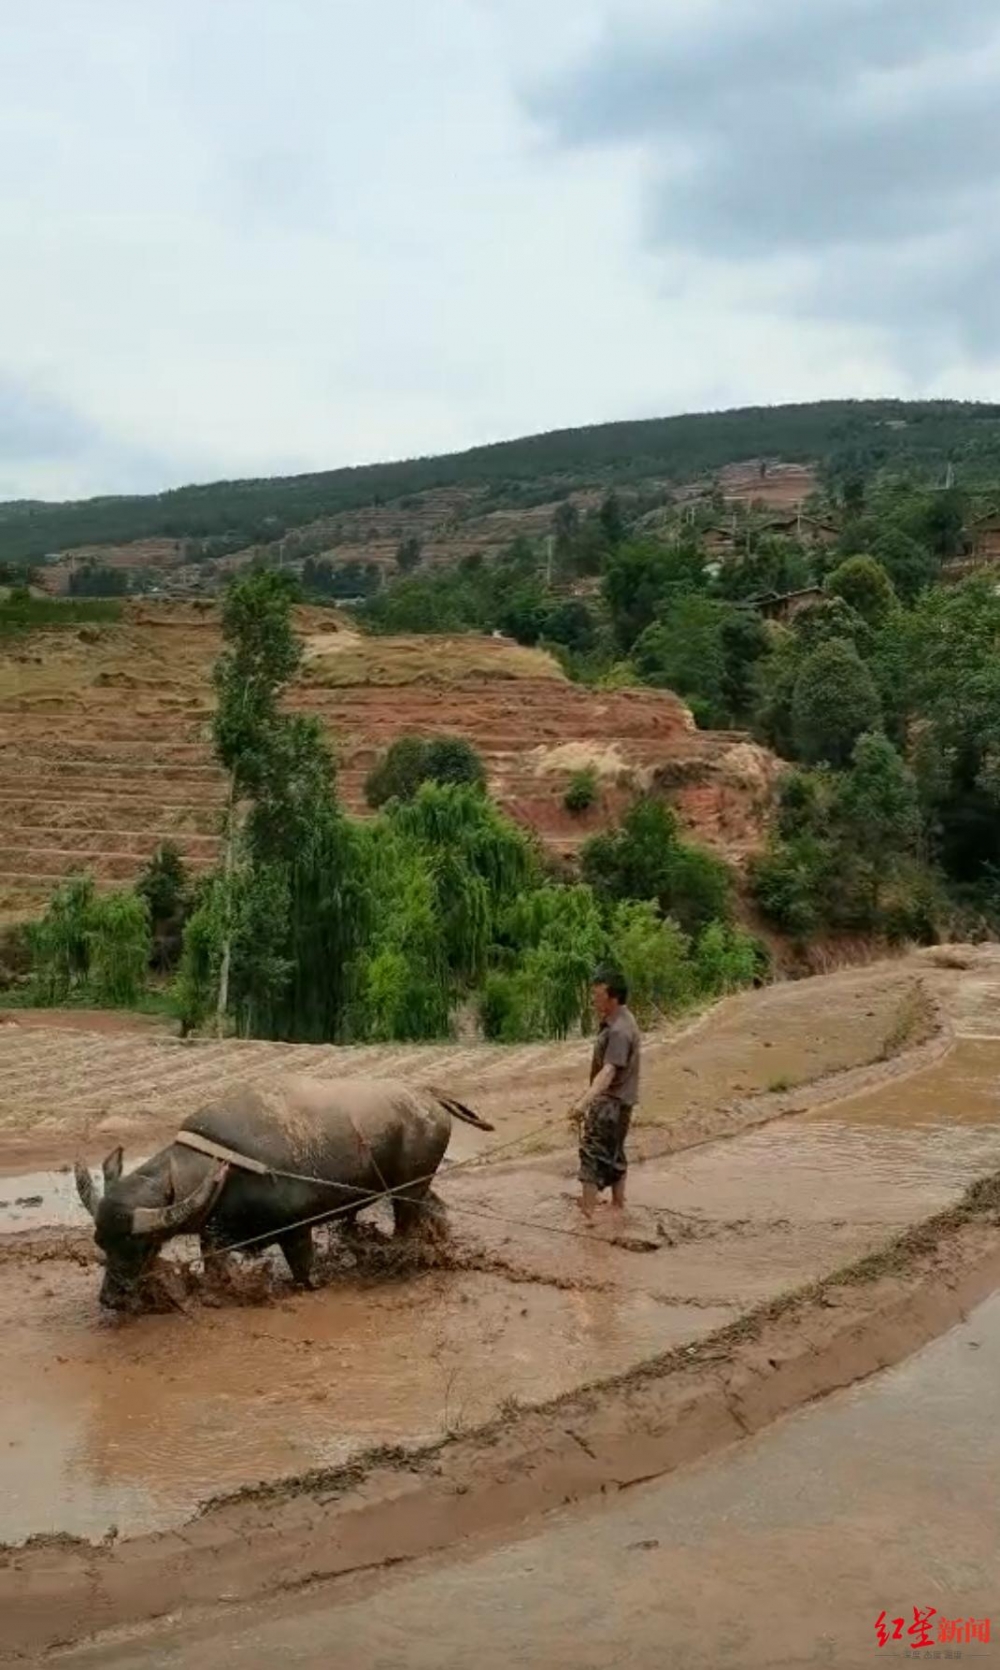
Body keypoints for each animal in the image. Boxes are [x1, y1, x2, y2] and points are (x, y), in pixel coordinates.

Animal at [72, 1075, 494, 1309]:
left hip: (409, 1189)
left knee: (409, 1222)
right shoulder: (215, 1234)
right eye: (101, 1242)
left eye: (139, 1245)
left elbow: (305, 1273)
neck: (224, 1166)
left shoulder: (296, 1231)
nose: (110, 1300)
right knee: (435, 1208)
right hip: (416, 1186)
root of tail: (429, 1097)